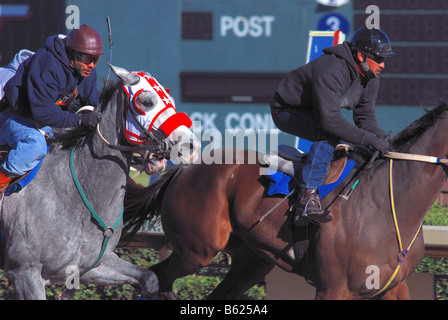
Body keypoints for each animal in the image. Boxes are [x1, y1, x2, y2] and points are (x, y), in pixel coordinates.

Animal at [0, 63, 200, 298]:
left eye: (172, 101)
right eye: (147, 102)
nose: (190, 145)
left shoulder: (94, 265)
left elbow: (150, 278)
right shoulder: (24, 272)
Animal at [121, 102, 448, 300]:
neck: (385, 206)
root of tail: (183, 171)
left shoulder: (393, 286)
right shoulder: (333, 287)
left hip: (250, 261)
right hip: (197, 250)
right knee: (158, 276)